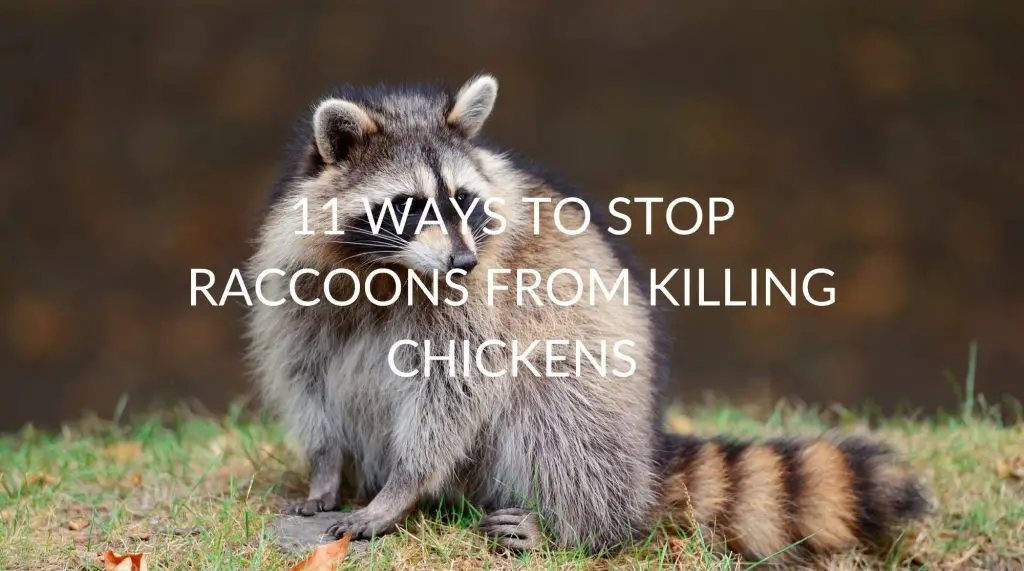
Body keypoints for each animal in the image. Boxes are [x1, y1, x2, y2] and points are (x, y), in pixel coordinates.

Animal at [245, 74, 927, 560]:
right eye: (409, 205)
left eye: (463, 200)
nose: (463, 259)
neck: (386, 268)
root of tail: (648, 451)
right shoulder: (298, 282)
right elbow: (305, 375)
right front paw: (325, 467)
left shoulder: (481, 301)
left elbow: (456, 388)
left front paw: (402, 488)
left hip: (603, 398)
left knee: (556, 402)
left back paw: (577, 526)